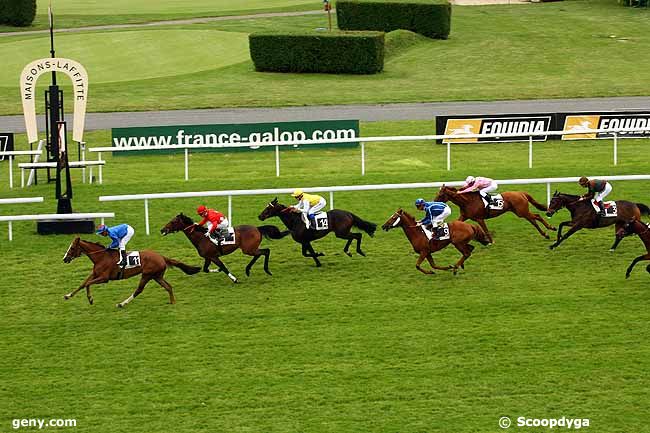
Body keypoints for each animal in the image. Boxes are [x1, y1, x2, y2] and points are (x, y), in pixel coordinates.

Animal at [63, 236, 201, 308]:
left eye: (72, 248)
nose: (65, 259)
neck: (101, 257)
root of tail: (161, 257)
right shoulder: (95, 274)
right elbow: (83, 284)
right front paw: (68, 295)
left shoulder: (104, 278)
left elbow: (87, 284)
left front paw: (90, 299)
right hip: (156, 276)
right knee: (168, 286)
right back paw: (172, 301)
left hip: (147, 275)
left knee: (139, 290)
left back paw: (122, 303)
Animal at [159, 213, 288, 282]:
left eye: (173, 222)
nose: (162, 230)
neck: (202, 237)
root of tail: (257, 228)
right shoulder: (208, 257)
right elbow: (206, 269)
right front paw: (217, 270)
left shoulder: (214, 257)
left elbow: (224, 267)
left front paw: (234, 279)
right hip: (250, 249)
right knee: (260, 253)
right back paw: (248, 270)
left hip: (248, 249)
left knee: (265, 251)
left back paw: (265, 270)